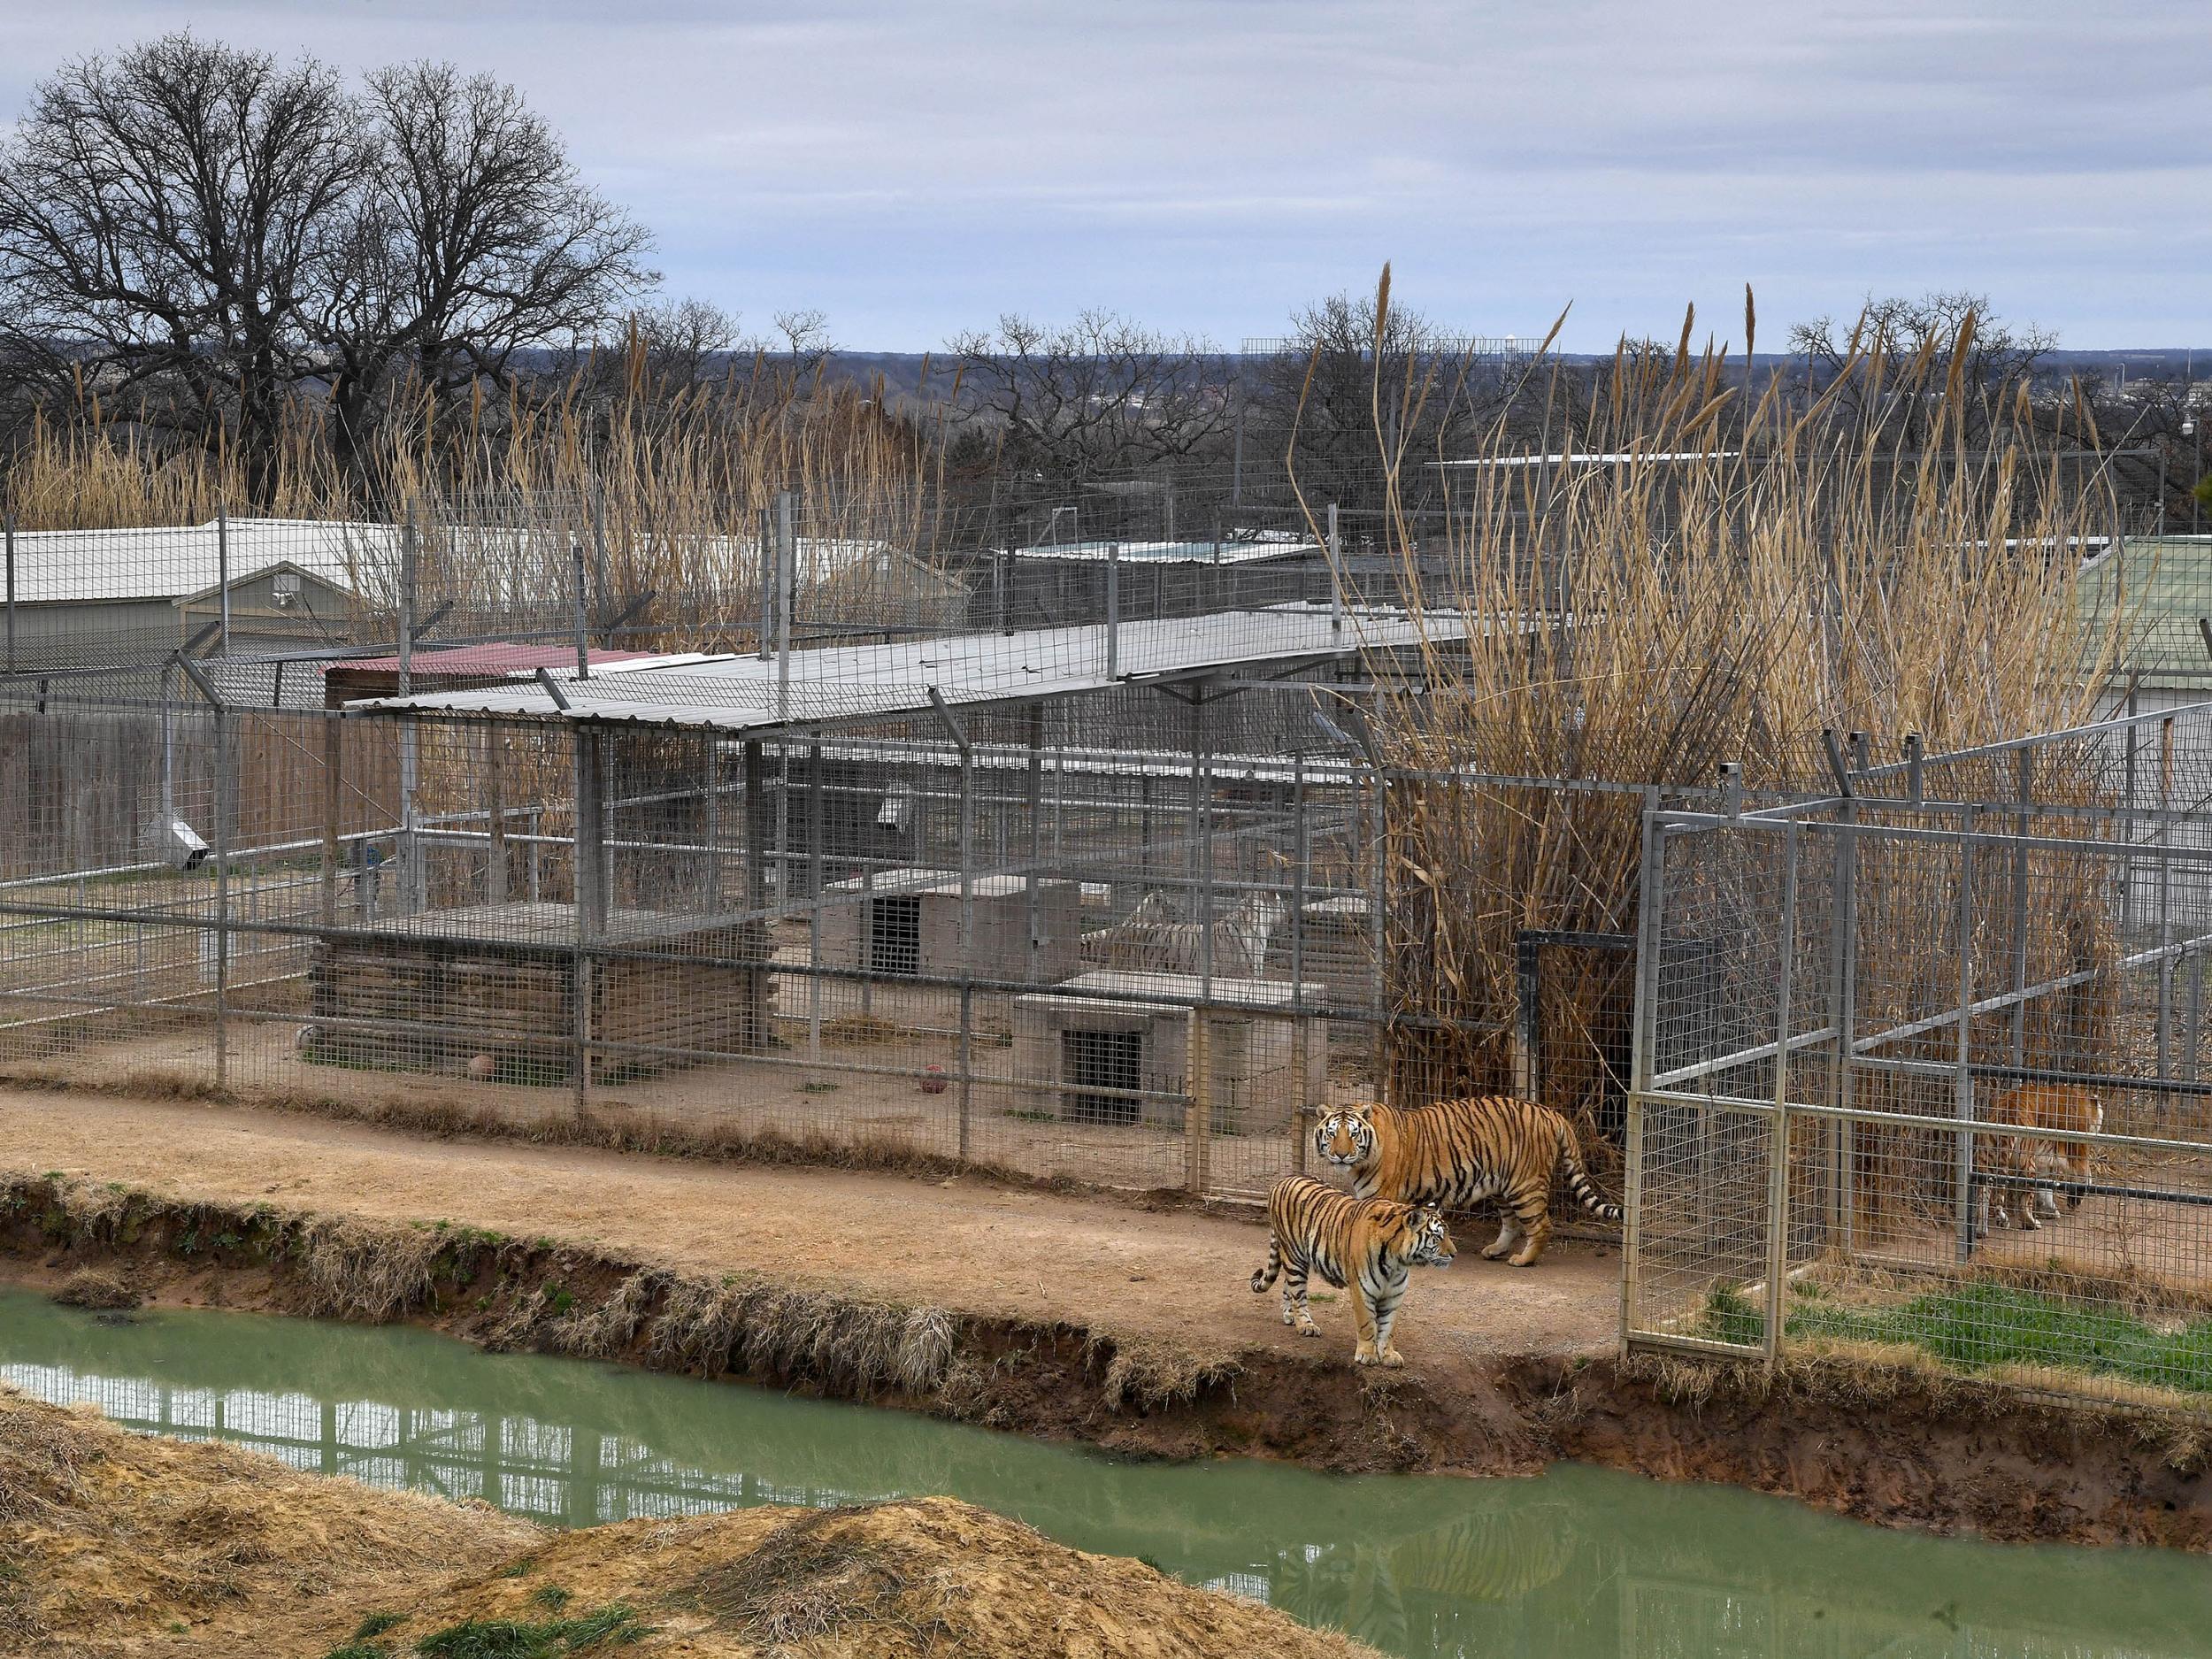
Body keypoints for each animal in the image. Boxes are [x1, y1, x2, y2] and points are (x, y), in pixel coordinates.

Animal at [1256, 1177, 1460, 1371]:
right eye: (1438, 1237)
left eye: (1448, 1234)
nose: (1454, 1254)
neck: (1398, 1261)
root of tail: (1281, 1181)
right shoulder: (1362, 1290)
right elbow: (1367, 1324)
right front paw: (1367, 1355)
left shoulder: (1394, 1294)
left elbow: (1389, 1327)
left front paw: (1388, 1355)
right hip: (1295, 1257)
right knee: (1297, 1293)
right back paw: (1306, 1325)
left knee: (1287, 1285)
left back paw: (1289, 1316)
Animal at [1982, 1084, 2097, 1239]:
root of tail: (2008, 1111)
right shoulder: (2078, 1153)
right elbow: (2084, 1176)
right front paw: (2074, 1201)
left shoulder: (2043, 1161)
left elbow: (2045, 1187)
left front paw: (2048, 1211)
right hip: (2027, 1164)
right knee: (2024, 1203)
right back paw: (2031, 1224)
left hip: (1986, 1159)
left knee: (1982, 1194)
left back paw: (1980, 1230)